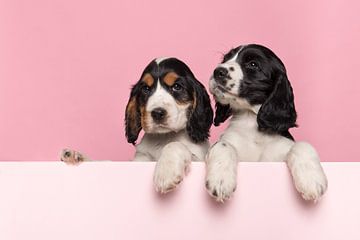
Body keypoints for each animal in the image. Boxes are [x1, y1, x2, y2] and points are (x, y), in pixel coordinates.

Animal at [205, 43, 326, 202]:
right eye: (225, 59)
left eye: (253, 64)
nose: (218, 71)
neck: (251, 121)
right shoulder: (226, 142)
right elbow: (223, 145)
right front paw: (220, 181)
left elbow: (303, 145)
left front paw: (312, 180)